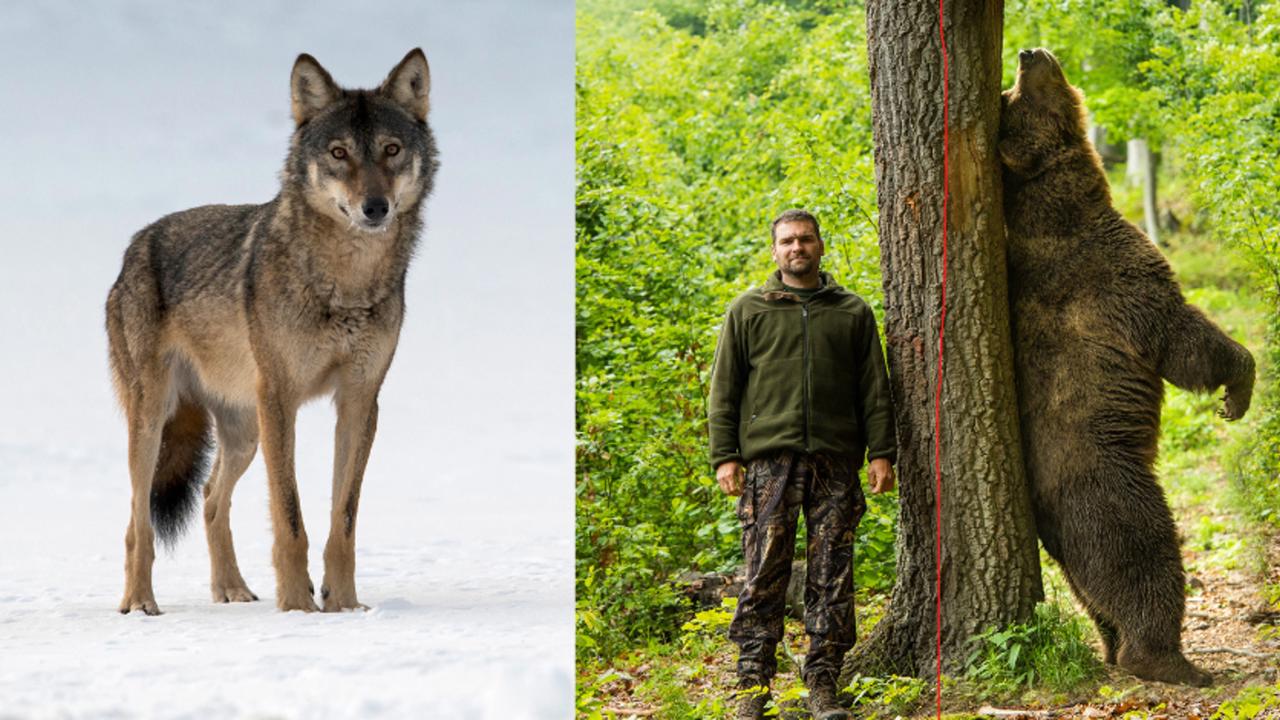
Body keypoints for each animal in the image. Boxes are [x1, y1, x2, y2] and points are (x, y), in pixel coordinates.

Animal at [102, 49, 440, 609]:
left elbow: (343, 520)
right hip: (156, 421)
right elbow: (291, 516)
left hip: (244, 433)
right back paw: (140, 602)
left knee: (209, 499)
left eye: (391, 150)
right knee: (137, 520)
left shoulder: (359, 401)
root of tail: (134, 247)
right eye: (339, 153)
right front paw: (299, 605)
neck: (346, 282)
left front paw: (344, 605)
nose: (375, 208)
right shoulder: (281, 398)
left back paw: (232, 589)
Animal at [993, 47, 1254, 686]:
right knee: (1145, 559)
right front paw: (1237, 390)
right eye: (1021, 94)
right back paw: (1173, 661)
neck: (1068, 211)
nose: (1030, 52)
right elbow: (1186, 341)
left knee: (1094, 596)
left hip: (1070, 547)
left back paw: (1114, 649)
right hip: (1110, 492)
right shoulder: (1118, 284)